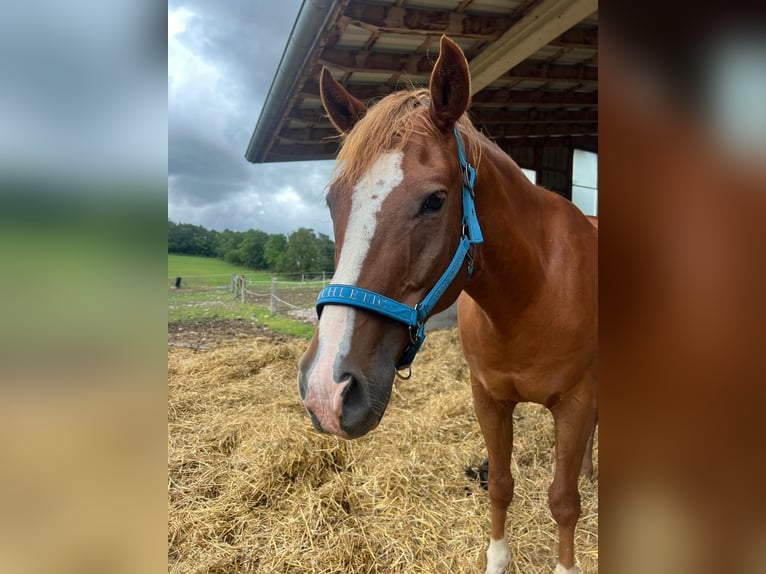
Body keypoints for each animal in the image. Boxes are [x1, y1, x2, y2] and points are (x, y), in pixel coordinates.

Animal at [297, 35, 597, 574]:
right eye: (333, 201)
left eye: (435, 200)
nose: (326, 392)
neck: (531, 294)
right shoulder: (488, 398)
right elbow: (499, 485)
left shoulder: (576, 401)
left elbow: (564, 502)